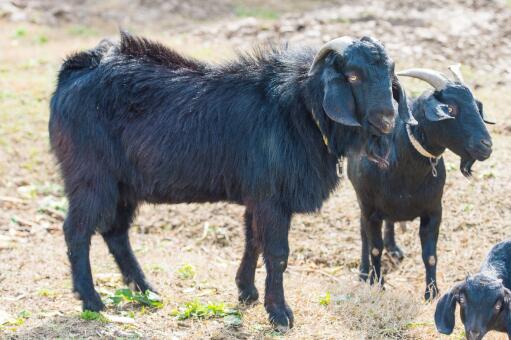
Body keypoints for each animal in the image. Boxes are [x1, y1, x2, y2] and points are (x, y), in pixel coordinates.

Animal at [49, 33, 416, 330]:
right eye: (353, 75)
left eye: (390, 74)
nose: (387, 118)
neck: (299, 109)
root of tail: (73, 72)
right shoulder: (271, 198)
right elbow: (277, 252)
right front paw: (280, 314)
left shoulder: (257, 195)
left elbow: (252, 240)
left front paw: (246, 292)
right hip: (91, 177)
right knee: (77, 231)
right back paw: (92, 300)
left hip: (124, 186)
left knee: (115, 232)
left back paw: (146, 290)